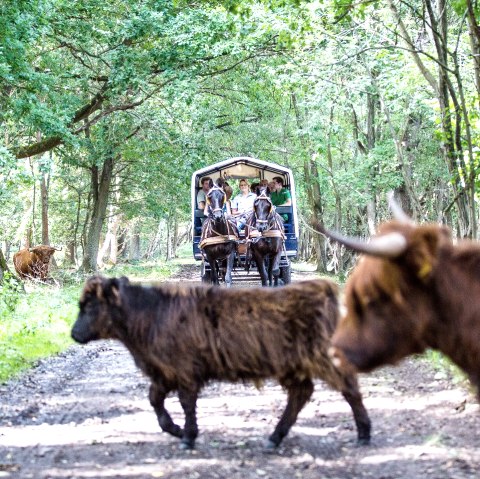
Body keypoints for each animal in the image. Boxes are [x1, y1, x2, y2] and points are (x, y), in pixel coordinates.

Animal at [72, 276, 372, 452]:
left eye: (90, 306)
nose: (73, 334)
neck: (149, 315)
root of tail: (320, 286)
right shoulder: (164, 372)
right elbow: (155, 399)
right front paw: (175, 430)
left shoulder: (184, 370)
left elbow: (186, 403)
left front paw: (188, 437)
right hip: (292, 366)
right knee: (301, 394)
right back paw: (274, 438)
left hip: (324, 356)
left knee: (350, 388)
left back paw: (363, 434)